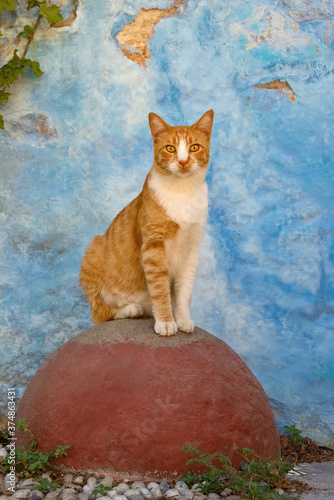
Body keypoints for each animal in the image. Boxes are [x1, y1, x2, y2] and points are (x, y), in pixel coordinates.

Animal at [80, 109, 214, 336]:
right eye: (170, 148)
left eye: (194, 147)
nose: (183, 161)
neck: (183, 191)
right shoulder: (153, 246)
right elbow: (160, 288)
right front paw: (166, 322)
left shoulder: (192, 249)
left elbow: (185, 290)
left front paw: (182, 319)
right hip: (93, 252)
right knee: (103, 314)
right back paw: (130, 309)